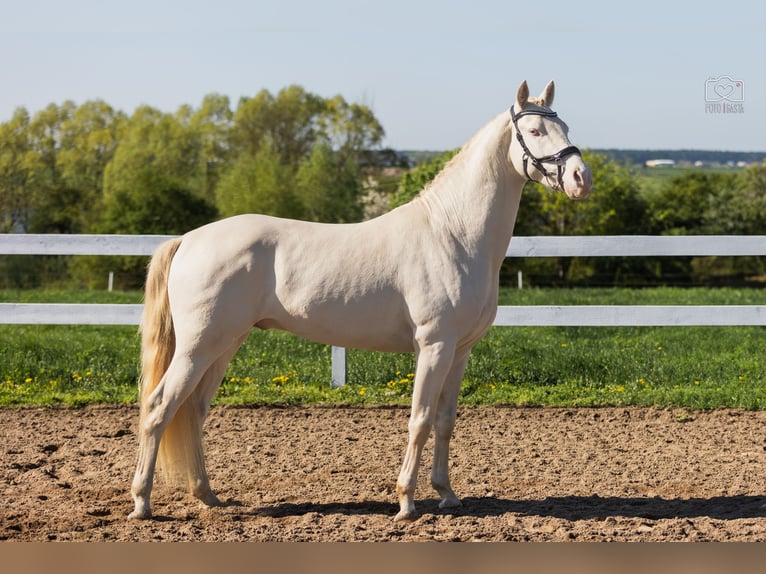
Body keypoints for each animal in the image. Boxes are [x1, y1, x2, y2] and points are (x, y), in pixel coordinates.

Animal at [130, 81, 592, 528]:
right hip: (198, 347)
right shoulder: (433, 346)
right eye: (535, 130)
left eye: (565, 125)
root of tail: (188, 239)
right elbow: (420, 419)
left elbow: (445, 421)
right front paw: (406, 502)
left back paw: (207, 496)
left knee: (192, 412)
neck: (453, 234)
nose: (580, 177)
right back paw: (142, 504)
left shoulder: (460, 351)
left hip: (224, 345)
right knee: (158, 408)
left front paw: (447, 495)